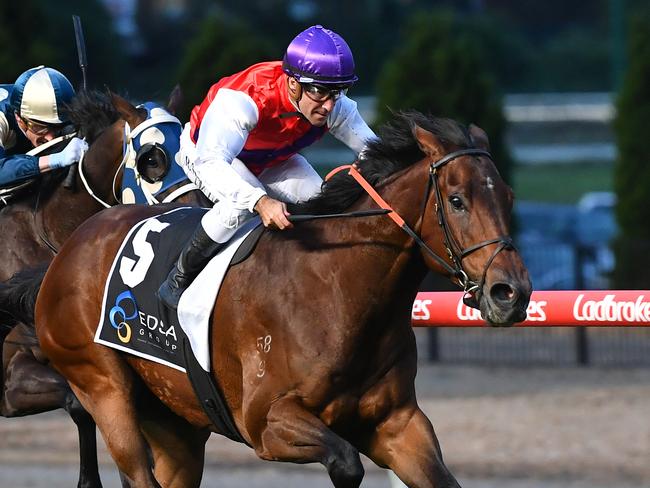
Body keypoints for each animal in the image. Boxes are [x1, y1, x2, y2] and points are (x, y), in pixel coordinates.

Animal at [21, 111, 528, 488]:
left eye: (507, 195)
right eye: (457, 200)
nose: (511, 293)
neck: (338, 285)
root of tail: (68, 250)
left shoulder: (397, 423)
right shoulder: (266, 422)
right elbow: (346, 463)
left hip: (175, 425)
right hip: (102, 387)